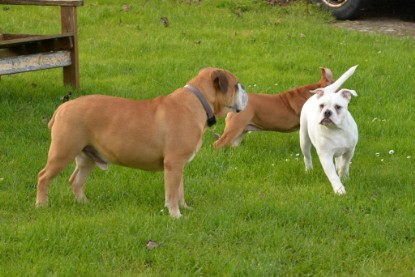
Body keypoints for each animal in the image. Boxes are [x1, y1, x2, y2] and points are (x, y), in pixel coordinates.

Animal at [36, 68, 247, 217]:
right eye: (236, 85)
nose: (245, 89)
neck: (198, 102)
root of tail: (63, 107)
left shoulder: (178, 166)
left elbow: (179, 190)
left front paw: (184, 207)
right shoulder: (174, 163)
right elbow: (172, 192)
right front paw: (175, 214)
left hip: (87, 157)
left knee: (76, 181)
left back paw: (84, 203)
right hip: (63, 152)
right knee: (43, 177)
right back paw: (42, 205)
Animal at [300, 65, 360, 194]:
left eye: (338, 107)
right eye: (321, 106)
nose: (327, 112)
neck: (337, 129)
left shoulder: (349, 150)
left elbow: (345, 165)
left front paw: (344, 176)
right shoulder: (325, 156)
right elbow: (332, 175)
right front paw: (339, 189)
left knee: (338, 159)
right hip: (304, 139)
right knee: (307, 156)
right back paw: (309, 170)